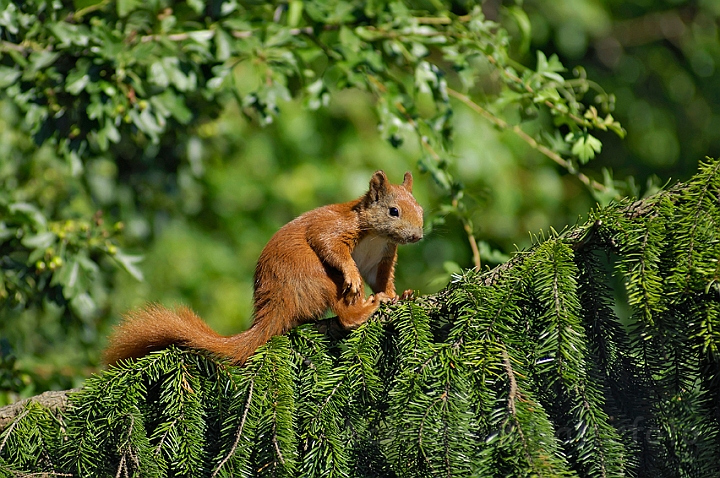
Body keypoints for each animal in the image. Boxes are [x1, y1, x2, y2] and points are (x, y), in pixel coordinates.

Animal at [104, 172, 424, 366]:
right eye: (393, 211)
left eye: (420, 209)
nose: (417, 236)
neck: (376, 236)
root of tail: (274, 308)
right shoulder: (335, 227)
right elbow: (327, 243)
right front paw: (355, 277)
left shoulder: (381, 257)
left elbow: (381, 279)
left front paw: (397, 295)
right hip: (317, 277)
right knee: (343, 316)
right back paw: (361, 310)